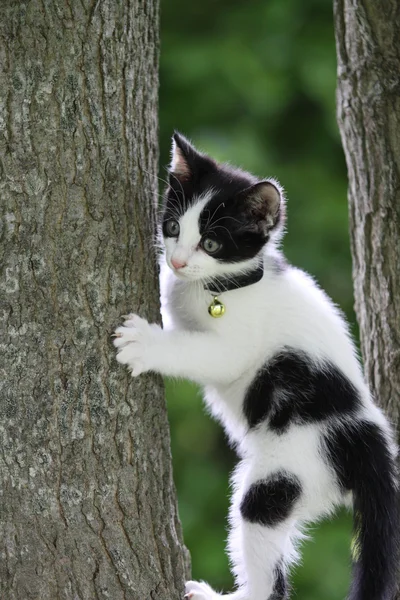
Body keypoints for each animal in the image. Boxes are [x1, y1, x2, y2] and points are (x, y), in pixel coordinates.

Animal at [114, 132, 398, 600]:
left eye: (211, 244)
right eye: (172, 228)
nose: (176, 262)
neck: (220, 289)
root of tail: (370, 440)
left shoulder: (236, 345)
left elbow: (201, 352)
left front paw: (144, 344)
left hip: (289, 468)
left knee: (268, 561)